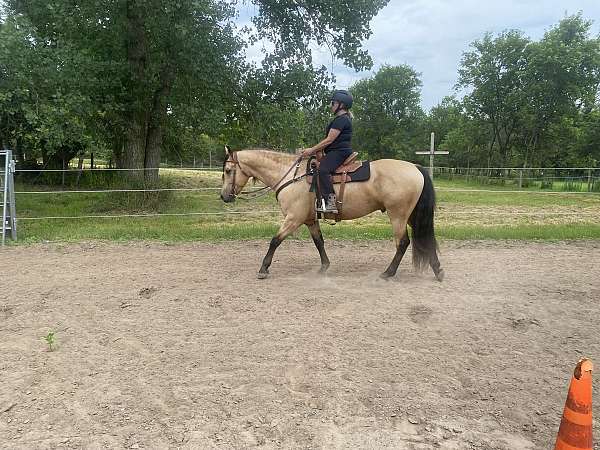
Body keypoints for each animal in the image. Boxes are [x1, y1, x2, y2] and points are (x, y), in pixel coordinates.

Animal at [221, 147, 446, 282]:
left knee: (403, 243)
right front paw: (324, 267)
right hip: (412, 215)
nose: (224, 196)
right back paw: (438, 270)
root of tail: (415, 167)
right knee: (424, 238)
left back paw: (388, 272)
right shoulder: (309, 220)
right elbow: (319, 242)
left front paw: (263, 269)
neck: (292, 176)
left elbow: (275, 240)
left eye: (228, 170)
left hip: (398, 215)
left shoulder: (293, 219)